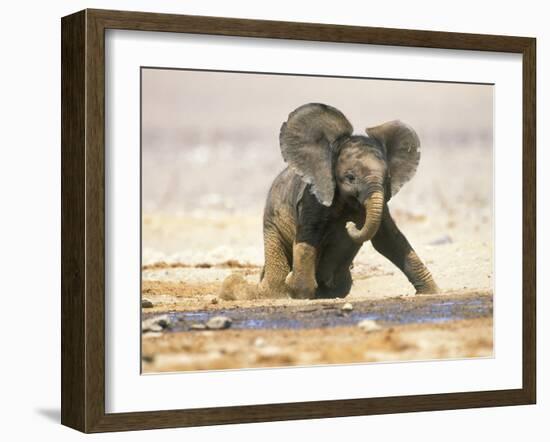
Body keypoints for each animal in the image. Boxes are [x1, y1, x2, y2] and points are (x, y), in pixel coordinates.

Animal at [260, 102, 442, 298]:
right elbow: (309, 237)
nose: (350, 225)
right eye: (350, 177)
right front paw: (300, 293)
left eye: (387, 178)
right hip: (271, 224)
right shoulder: (313, 198)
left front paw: (432, 292)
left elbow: (388, 240)